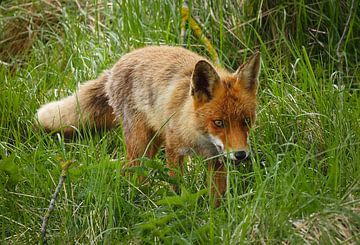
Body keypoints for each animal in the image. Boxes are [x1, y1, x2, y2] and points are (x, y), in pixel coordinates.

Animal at [36, 45, 260, 205]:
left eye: (246, 121)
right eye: (219, 122)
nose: (241, 154)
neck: (198, 137)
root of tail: (116, 65)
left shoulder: (216, 160)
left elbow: (217, 196)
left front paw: (217, 215)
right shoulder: (173, 150)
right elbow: (177, 187)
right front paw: (180, 208)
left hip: (153, 142)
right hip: (140, 144)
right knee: (132, 172)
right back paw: (139, 200)